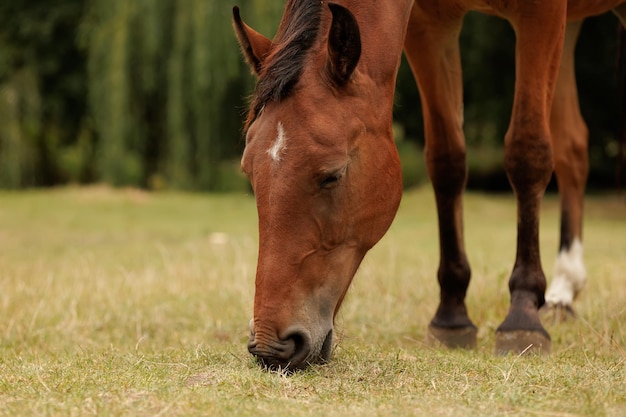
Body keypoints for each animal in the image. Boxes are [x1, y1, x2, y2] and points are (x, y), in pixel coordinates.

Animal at [230, 0, 624, 370]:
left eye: (332, 175)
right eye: (250, 172)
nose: (272, 347)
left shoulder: (541, 14)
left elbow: (528, 153)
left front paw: (522, 314)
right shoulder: (430, 25)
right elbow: (447, 161)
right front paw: (451, 316)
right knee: (573, 147)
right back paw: (563, 291)